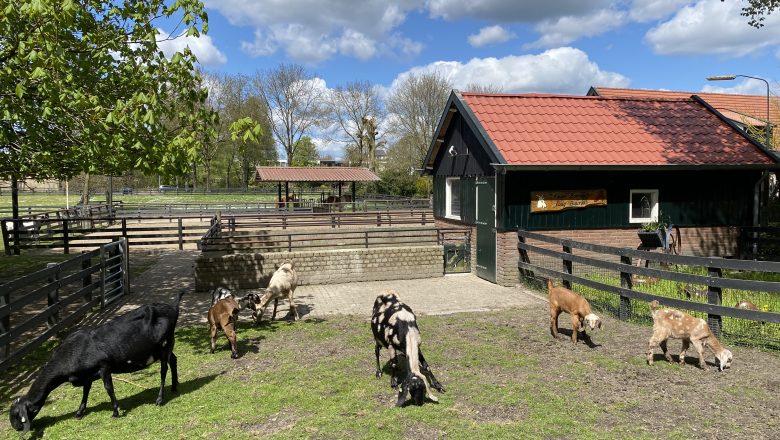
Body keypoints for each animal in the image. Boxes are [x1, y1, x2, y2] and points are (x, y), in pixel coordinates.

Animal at [8, 290, 185, 432]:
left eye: (17, 415)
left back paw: (160, 399)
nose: (17, 428)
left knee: (163, 370)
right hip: (166, 347)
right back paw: (174, 386)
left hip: (164, 344)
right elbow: (85, 391)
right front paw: (79, 412)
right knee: (174, 360)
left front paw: (115, 412)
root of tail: (173, 307)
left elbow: (108, 388)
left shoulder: (104, 366)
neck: (69, 354)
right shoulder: (87, 374)